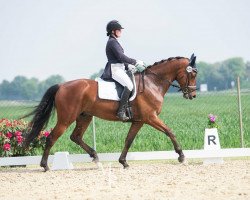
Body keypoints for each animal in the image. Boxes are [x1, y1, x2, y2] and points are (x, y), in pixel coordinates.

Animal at [24, 54, 198, 171]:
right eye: (193, 73)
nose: (193, 95)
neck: (152, 83)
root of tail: (61, 85)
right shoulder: (150, 117)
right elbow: (170, 132)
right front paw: (182, 157)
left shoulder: (139, 121)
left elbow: (128, 140)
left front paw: (123, 162)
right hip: (66, 118)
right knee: (52, 137)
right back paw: (45, 166)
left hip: (84, 116)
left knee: (76, 137)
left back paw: (96, 159)